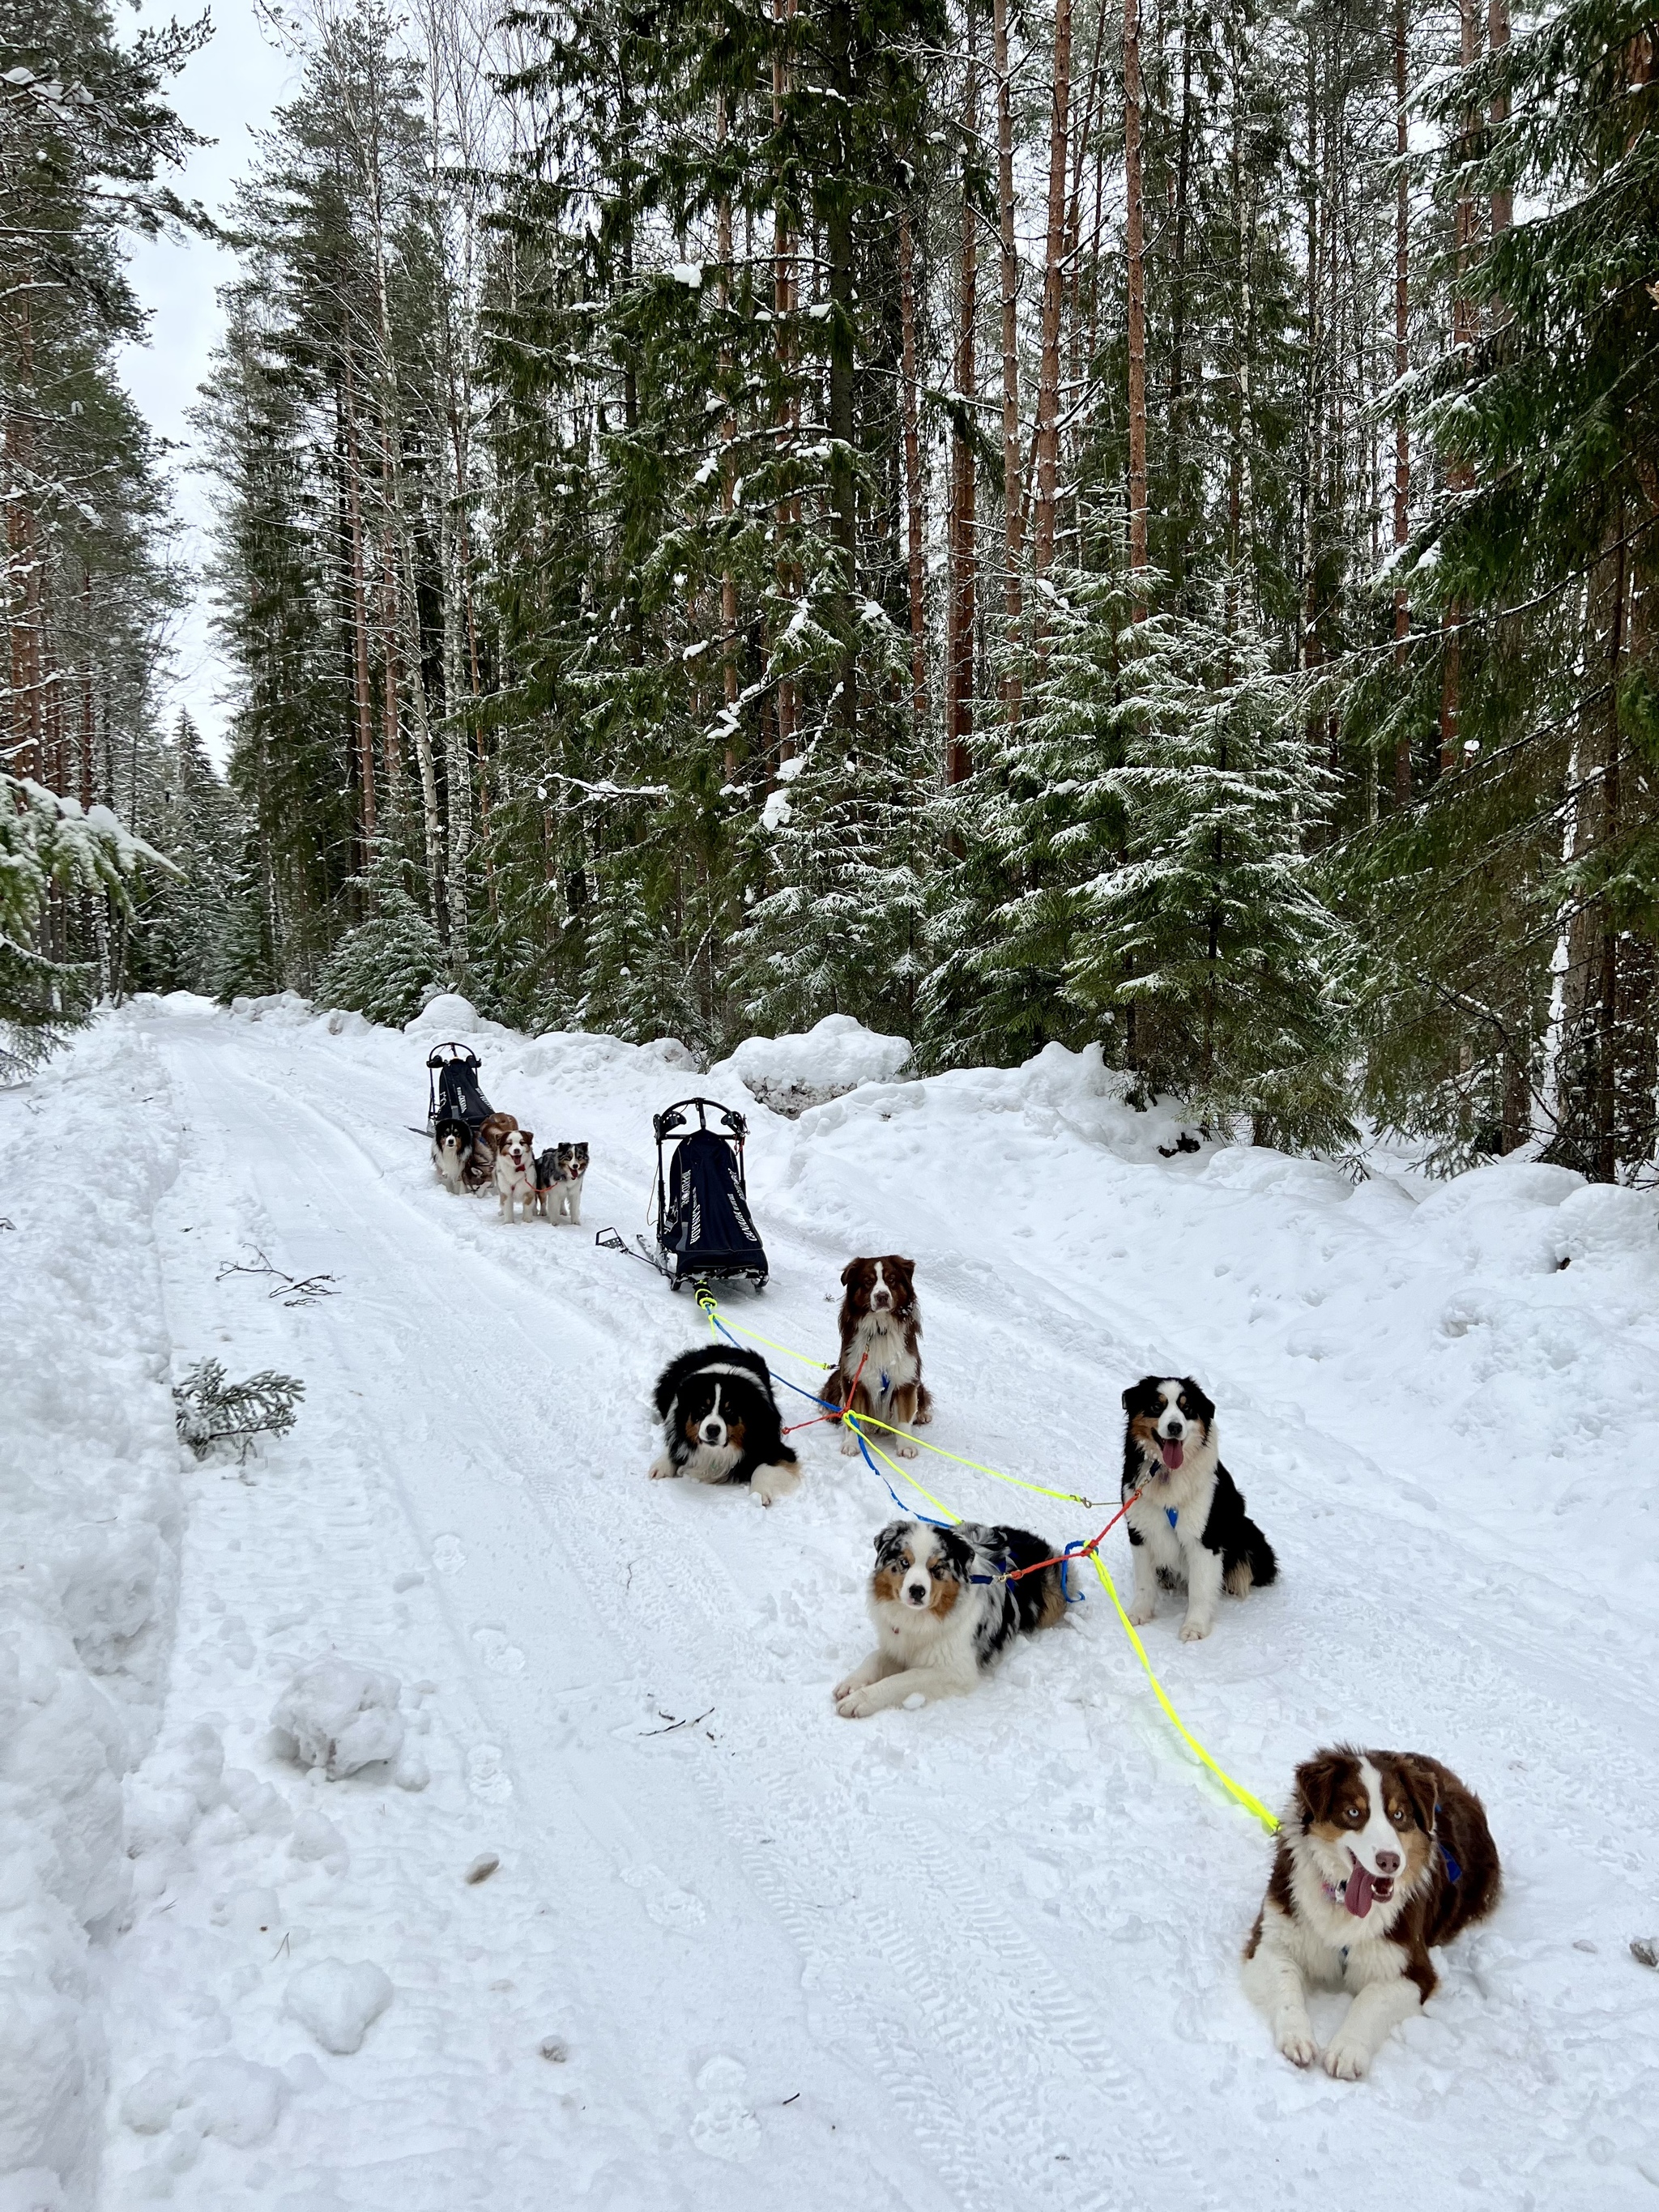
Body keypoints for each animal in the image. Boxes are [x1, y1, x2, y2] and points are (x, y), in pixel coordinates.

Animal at [650, 1336, 804, 1513]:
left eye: (729, 1411)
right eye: (702, 1408)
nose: (712, 1430)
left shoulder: (776, 1447)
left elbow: (762, 1468)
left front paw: (758, 1494)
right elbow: (674, 1445)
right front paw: (661, 1466)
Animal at [831, 1256, 937, 1460]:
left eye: (891, 1280)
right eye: (868, 1281)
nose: (882, 1296)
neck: (880, 1329)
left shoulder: (905, 1377)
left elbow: (904, 1417)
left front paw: (906, 1446)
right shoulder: (854, 1377)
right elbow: (852, 1416)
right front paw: (851, 1444)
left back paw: (923, 1415)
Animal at [836, 1521, 1070, 1725]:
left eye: (936, 1568)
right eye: (904, 1562)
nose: (917, 1590)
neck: (919, 1619)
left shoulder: (956, 1671)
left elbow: (901, 1680)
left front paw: (859, 1700)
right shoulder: (898, 1644)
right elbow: (874, 1657)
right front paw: (852, 1683)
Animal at [1124, 1362, 1282, 1645]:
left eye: (1187, 1408)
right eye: (1156, 1406)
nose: (1175, 1427)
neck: (1166, 1474)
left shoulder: (1204, 1538)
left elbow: (1199, 1589)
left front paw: (1194, 1627)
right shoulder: (1139, 1529)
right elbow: (1143, 1582)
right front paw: (1138, 1614)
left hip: (1249, 1534)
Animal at [1247, 1743, 1503, 2070]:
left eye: (1399, 1815)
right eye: (1354, 1812)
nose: (1390, 1861)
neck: (1343, 1901)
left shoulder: (1412, 1969)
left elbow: (1370, 1999)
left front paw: (1347, 2049)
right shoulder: (1271, 1939)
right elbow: (1286, 1979)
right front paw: (1297, 2038)